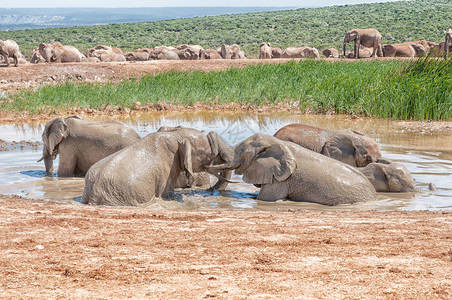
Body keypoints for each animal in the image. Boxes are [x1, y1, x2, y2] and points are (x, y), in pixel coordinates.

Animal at [80, 126, 230, 206]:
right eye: (207, 153)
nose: (210, 190)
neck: (176, 135)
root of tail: (93, 197)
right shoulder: (168, 171)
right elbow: (167, 195)